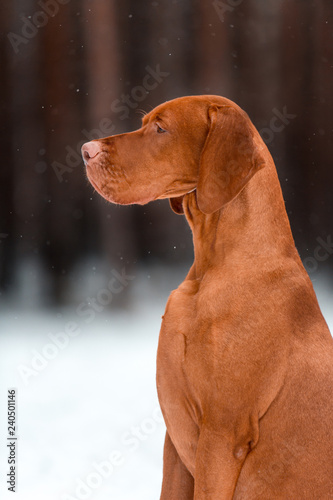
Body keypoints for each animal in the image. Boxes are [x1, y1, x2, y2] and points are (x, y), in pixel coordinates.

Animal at [81, 95, 332, 498]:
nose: (85, 150)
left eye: (161, 128)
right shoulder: (175, 439)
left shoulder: (222, 435)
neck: (209, 269)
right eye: (145, 123)